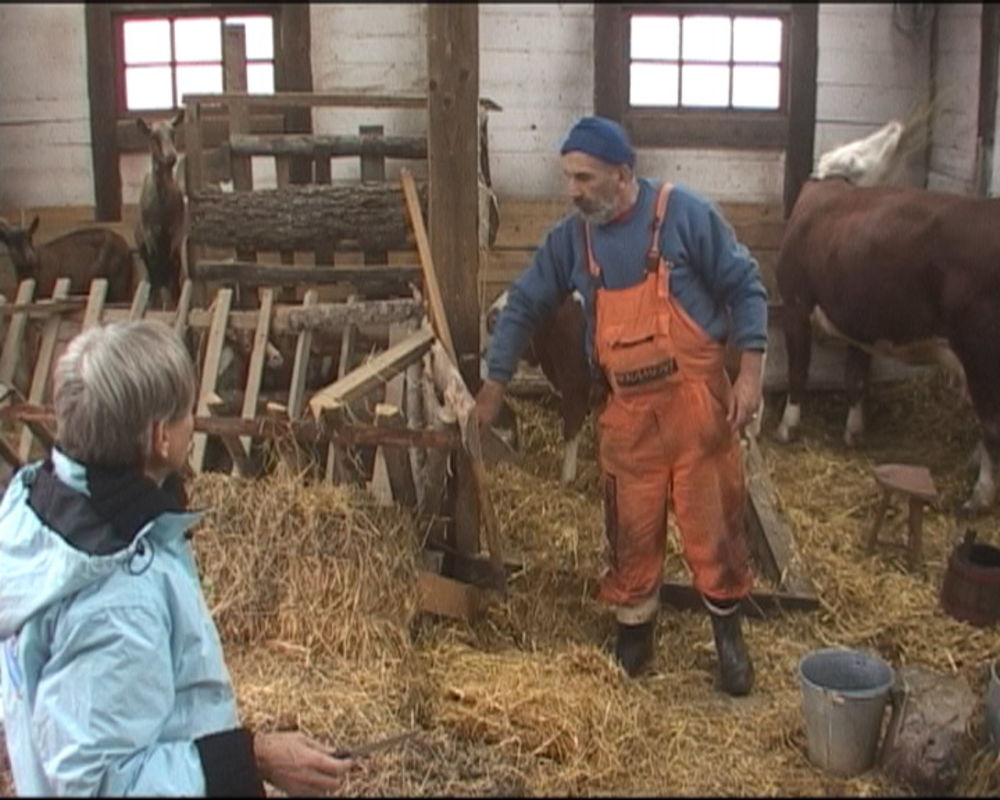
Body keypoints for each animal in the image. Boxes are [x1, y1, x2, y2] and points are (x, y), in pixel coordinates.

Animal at [135, 111, 186, 310]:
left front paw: (176, 300)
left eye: (173, 133)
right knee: (152, 270)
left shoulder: (176, 231)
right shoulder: (149, 232)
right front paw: (154, 303)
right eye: (153, 136)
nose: (171, 157)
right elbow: (155, 264)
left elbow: (175, 263)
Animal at [776, 122, 996, 516]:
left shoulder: (795, 304)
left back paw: (980, 495)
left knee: (992, 423)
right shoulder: (858, 322)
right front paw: (854, 431)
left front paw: (787, 427)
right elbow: (855, 380)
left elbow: (798, 372)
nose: (898, 126)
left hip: (981, 349)